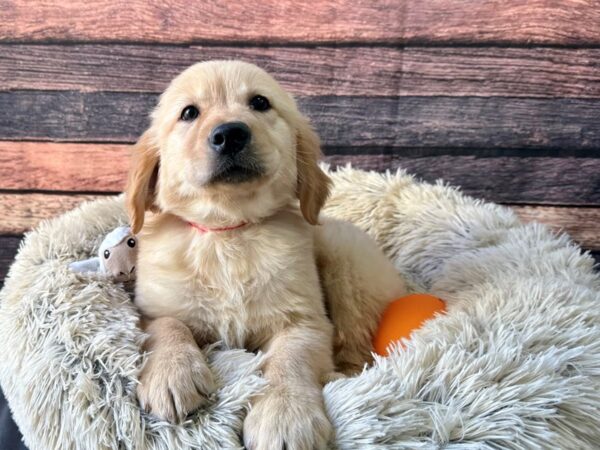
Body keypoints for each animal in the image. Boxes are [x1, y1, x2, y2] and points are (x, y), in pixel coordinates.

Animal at [127, 60, 408, 450]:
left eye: (259, 103)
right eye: (189, 113)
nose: (230, 134)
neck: (229, 232)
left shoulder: (304, 320)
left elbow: (290, 359)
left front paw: (285, 415)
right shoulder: (151, 308)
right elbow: (167, 325)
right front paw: (170, 374)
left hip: (346, 261)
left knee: (356, 344)